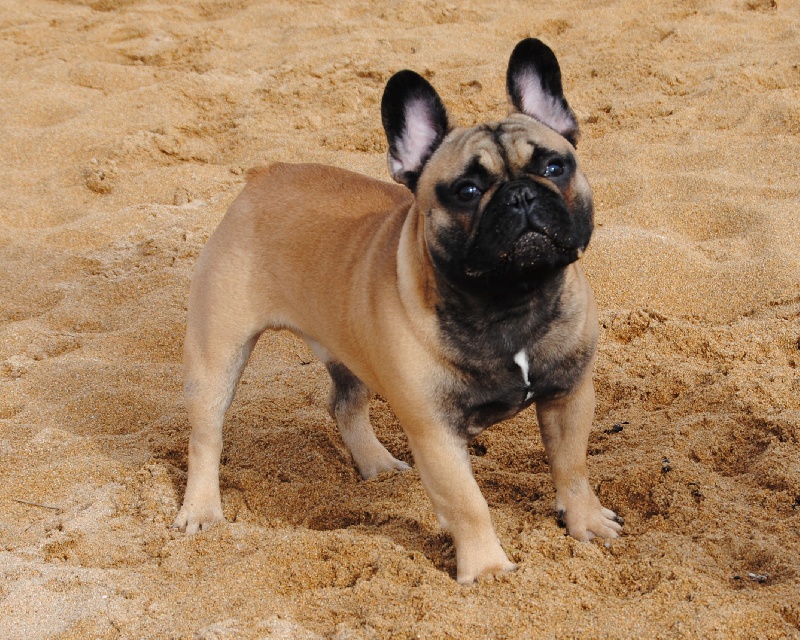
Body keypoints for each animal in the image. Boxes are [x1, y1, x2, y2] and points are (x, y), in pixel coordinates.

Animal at [175, 37, 620, 584]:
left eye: (555, 167)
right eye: (467, 191)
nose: (520, 194)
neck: (509, 299)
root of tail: (263, 176)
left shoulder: (568, 395)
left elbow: (572, 467)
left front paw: (586, 523)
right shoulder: (435, 432)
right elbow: (469, 503)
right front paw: (487, 569)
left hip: (348, 347)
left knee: (345, 404)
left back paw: (377, 465)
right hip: (217, 355)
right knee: (207, 436)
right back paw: (200, 510)